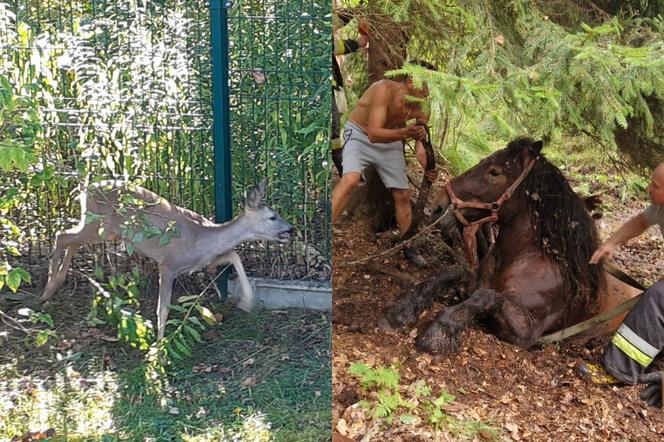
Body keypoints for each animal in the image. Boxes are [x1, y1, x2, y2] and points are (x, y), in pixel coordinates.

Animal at [41, 179, 290, 338]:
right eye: (272, 216)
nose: (291, 229)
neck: (201, 238)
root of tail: (86, 188)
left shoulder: (202, 261)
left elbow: (234, 254)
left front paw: (247, 302)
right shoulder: (168, 264)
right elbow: (163, 309)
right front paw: (159, 350)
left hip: (102, 229)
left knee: (69, 239)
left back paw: (55, 284)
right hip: (98, 224)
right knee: (62, 235)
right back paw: (47, 290)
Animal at [382, 136, 640, 354]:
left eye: (494, 172)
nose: (438, 206)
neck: (518, 259)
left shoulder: (525, 331)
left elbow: (487, 297)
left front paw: (439, 332)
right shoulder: (471, 284)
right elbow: (454, 271)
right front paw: (403, 309)